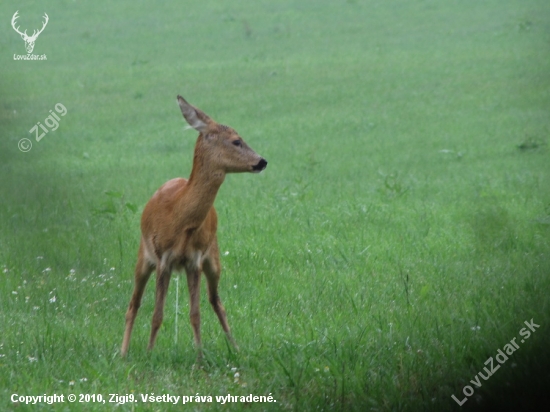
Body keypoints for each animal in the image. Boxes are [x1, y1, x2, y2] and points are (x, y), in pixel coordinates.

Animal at [121, 96, 268, 358]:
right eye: (236, 140)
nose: (262, 161)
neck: (179, 217)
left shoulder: (195, 259)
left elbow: (195, 313)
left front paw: (199, 357)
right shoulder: (164, 258)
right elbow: (157, 314)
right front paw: (149, 353)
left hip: (214, 258)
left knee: (216, 301)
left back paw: (236, 348)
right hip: (143, 257)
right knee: (133, 304)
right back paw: (123, 353)